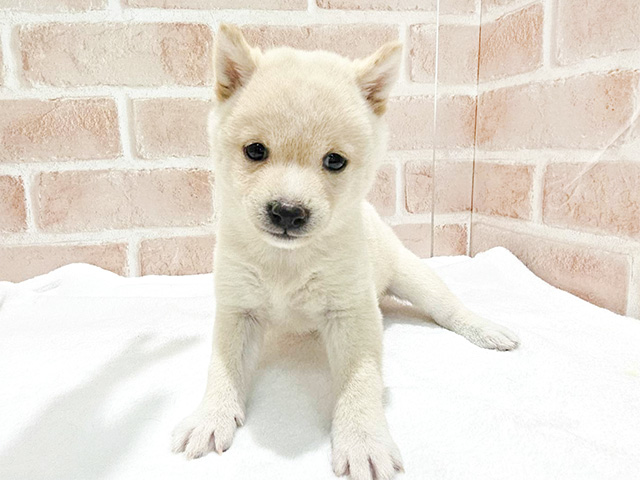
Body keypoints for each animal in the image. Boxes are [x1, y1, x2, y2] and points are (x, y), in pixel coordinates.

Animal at [171, 25, 520, 480]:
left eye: (334, 161)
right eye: (255, 151)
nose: (288, 211)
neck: (287, 261)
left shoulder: (351, 313)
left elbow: (361, 380)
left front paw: (362, 439)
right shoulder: (238, 309)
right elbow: (223, 367)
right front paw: (211, 415)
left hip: (415, 278)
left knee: (448, 309)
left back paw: (485, 329)